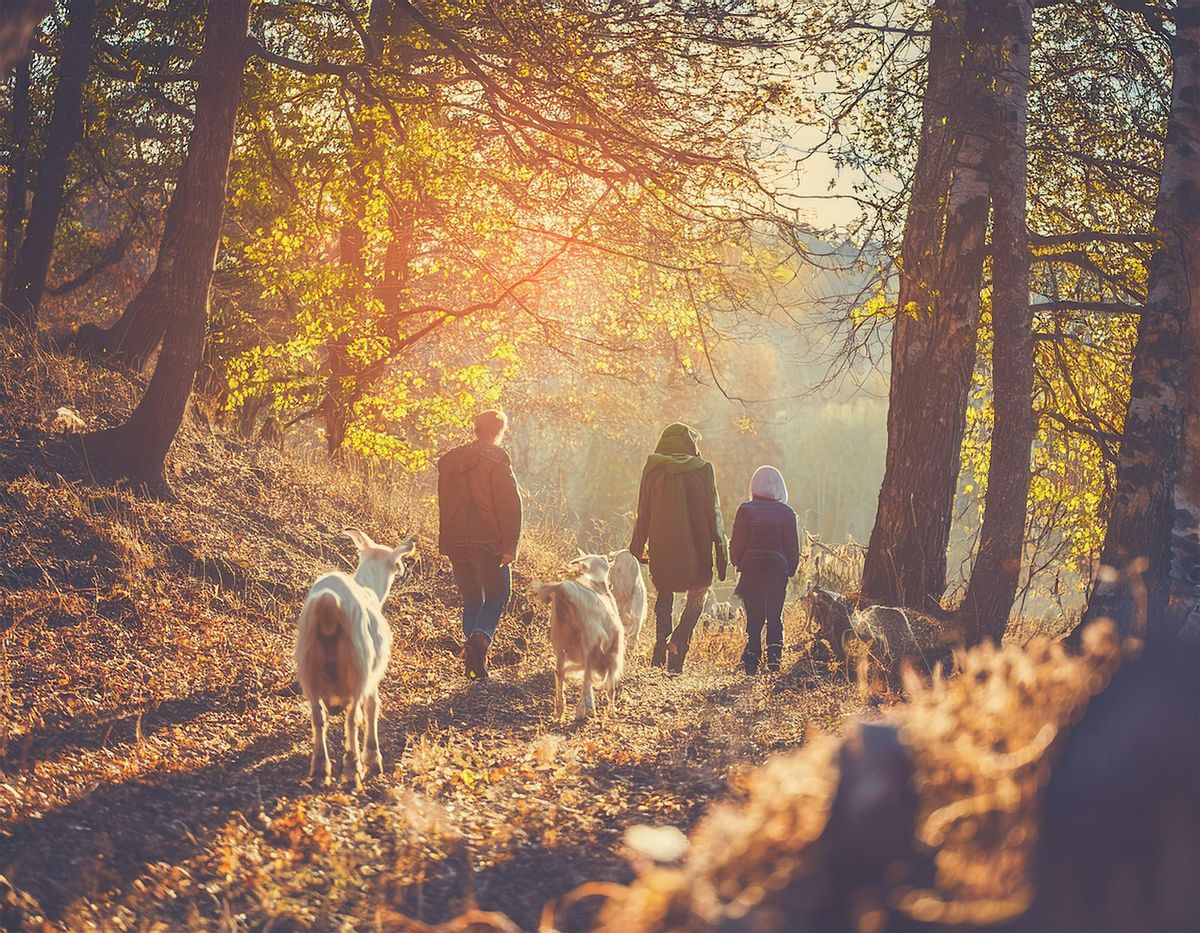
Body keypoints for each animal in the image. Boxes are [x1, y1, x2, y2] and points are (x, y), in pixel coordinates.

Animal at [295, 527, 417, 781]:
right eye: (397, 564)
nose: (403, 572)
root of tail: (328, 603)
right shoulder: (373, 674)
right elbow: (372, 707)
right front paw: (373, 756)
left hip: (307, 667)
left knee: (318, 717)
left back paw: (320, 766)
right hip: (359, 666)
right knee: (353, 717)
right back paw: (353, 766)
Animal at [535, 551, 628, 719]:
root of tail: (562, 589)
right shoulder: (613, 655)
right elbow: (610, 687)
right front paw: (611, 711)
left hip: (559, 642)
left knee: (560, 671)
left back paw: (560, 709)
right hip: (589, 642)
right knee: (585, 678)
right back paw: (583, 710)